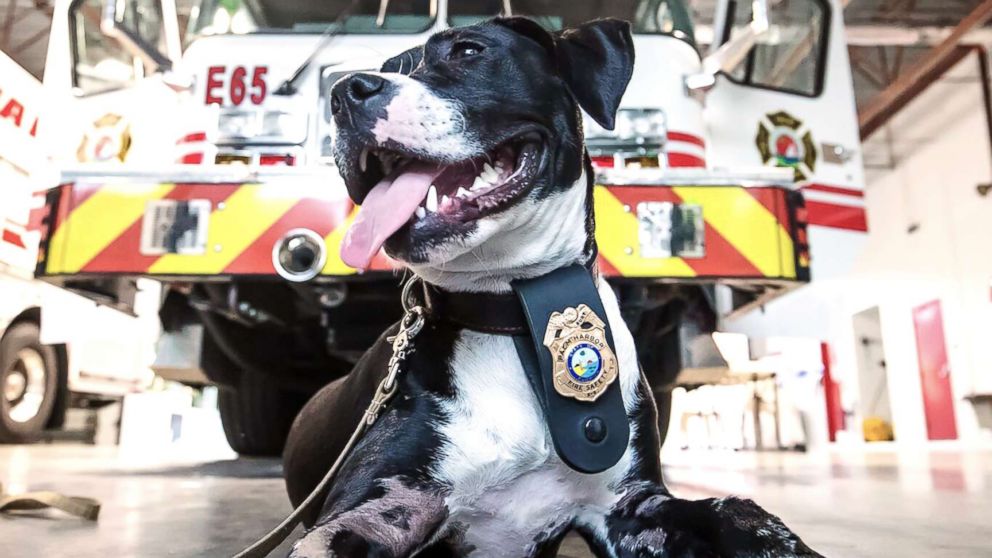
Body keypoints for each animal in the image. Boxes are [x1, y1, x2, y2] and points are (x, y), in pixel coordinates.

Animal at [280, 17, 820, 558]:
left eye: (468, 51)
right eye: (386, 67)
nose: (345, 90)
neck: (512, 313)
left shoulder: (631, 508)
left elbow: (741, 512)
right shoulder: (381, 509)